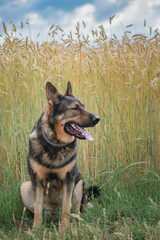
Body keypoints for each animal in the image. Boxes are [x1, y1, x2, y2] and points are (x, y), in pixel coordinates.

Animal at [19, 80, 100, 227]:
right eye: (75, 108)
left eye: (84, 107)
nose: (97, 118)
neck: (55, 144)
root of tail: (54, 212)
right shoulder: (36, 180)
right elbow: (38, 209)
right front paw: (36, 228)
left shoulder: (69, 180)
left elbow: (66, 207)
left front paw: (64, 228)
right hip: (24, 187)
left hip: (79, 183)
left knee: (76, 209)